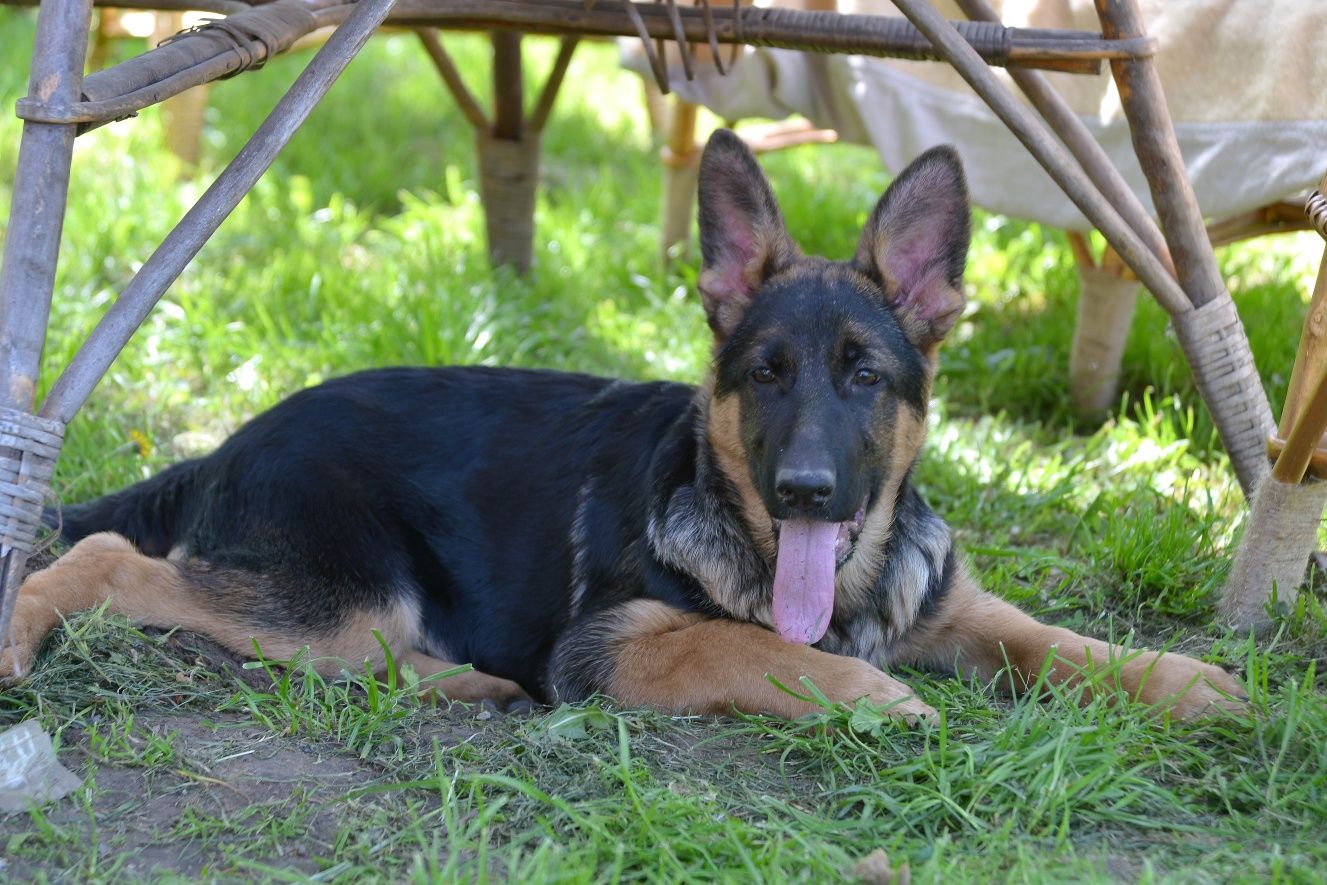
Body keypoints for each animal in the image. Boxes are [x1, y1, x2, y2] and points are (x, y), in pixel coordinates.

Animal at [2, 133, 1242, 727]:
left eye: (863, 375)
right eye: (766, 375)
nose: (803, 492)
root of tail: (230, 440)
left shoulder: (948, 603)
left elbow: (1050, 639)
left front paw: (1182, 681)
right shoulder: (616, 643)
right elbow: (751, 648)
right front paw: (865, 692)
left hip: (352, 615)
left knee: (356, 662)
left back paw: (472, 688)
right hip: (339, 593)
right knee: (112, 559)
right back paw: (21, 630)